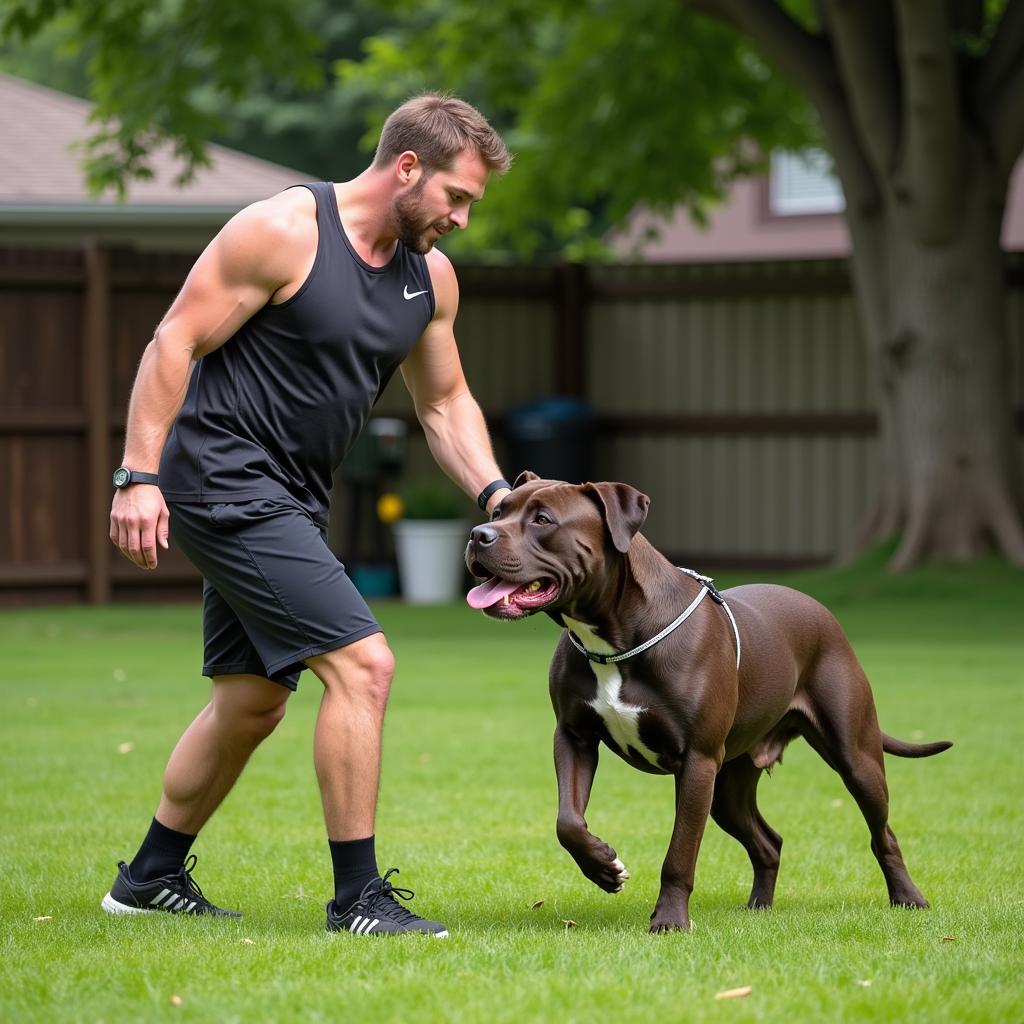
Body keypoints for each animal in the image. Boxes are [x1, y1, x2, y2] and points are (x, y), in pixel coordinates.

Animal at [464, 473, 950, 937]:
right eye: (499, 511)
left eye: (543, 520)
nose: (477, 534)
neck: (613, 636)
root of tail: (821, 610)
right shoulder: (574, 737)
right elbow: (567, 821)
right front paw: (603, 866)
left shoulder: (696, 763)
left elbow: (679, 853)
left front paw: (670, 921)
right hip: (729, 787)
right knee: (768, 841)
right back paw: (758, 907)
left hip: (854, 758)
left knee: (882, 833)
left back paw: (908, 897)